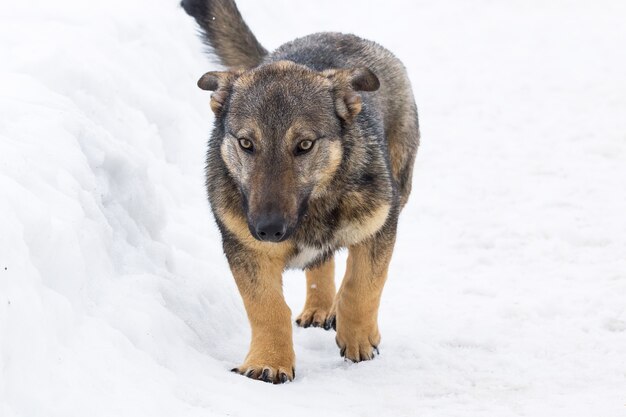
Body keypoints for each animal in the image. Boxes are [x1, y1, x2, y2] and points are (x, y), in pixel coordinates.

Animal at [183, 0, 422, 384]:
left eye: (305, 145)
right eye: (246, 143)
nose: (268, 229)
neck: (310, 211)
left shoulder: (380, 225)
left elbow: (362, 286)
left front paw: (359, 339)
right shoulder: (245, 248)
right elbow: (266, 306)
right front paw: (268, 361)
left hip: (402, 182)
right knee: (321, 262)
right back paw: (319, 307)